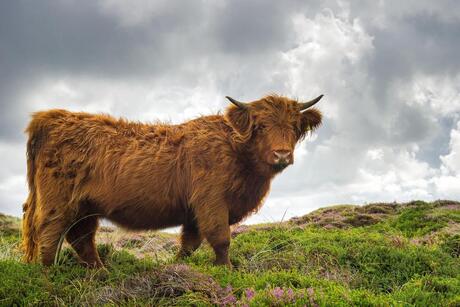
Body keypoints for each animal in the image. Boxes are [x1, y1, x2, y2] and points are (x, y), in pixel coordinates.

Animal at [22, 94, 324, 268]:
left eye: (294, 126)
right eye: (260, 126)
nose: (282, 154)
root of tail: (51, 117)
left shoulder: (194, 212)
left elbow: (190, 243)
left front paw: (177, 267)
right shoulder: (212, 202)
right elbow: (221, 238)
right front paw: (226, 270)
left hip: (86, 206)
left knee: (81, 238)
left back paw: (100, 273)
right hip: (58, 201)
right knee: (49, 234)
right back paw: (48, 275)